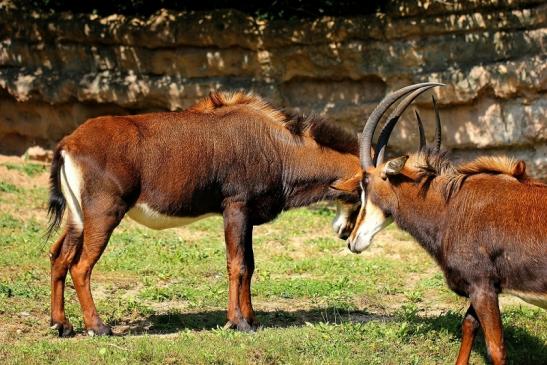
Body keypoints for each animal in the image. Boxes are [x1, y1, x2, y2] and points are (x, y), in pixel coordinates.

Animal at [348, 84, 544, 364]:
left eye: (366, 184)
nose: (352, 240)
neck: (451, 206)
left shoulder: (482, 286)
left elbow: (496, 348)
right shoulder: (481, 286)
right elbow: (469, 326)